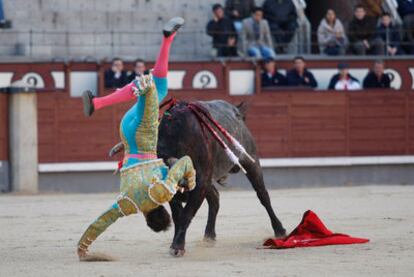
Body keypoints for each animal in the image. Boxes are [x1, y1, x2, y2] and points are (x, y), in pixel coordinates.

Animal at [113, 98, 288, 254]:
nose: (156, 223)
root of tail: (237, 111)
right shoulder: (181, 190)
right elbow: (178, 216)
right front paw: (176, 242)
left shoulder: (201, 182)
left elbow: (186, 214)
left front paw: (177, 247)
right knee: (215, 198)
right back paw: (209, 236)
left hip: (250, 161)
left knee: (263, 195)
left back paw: (280, 230)